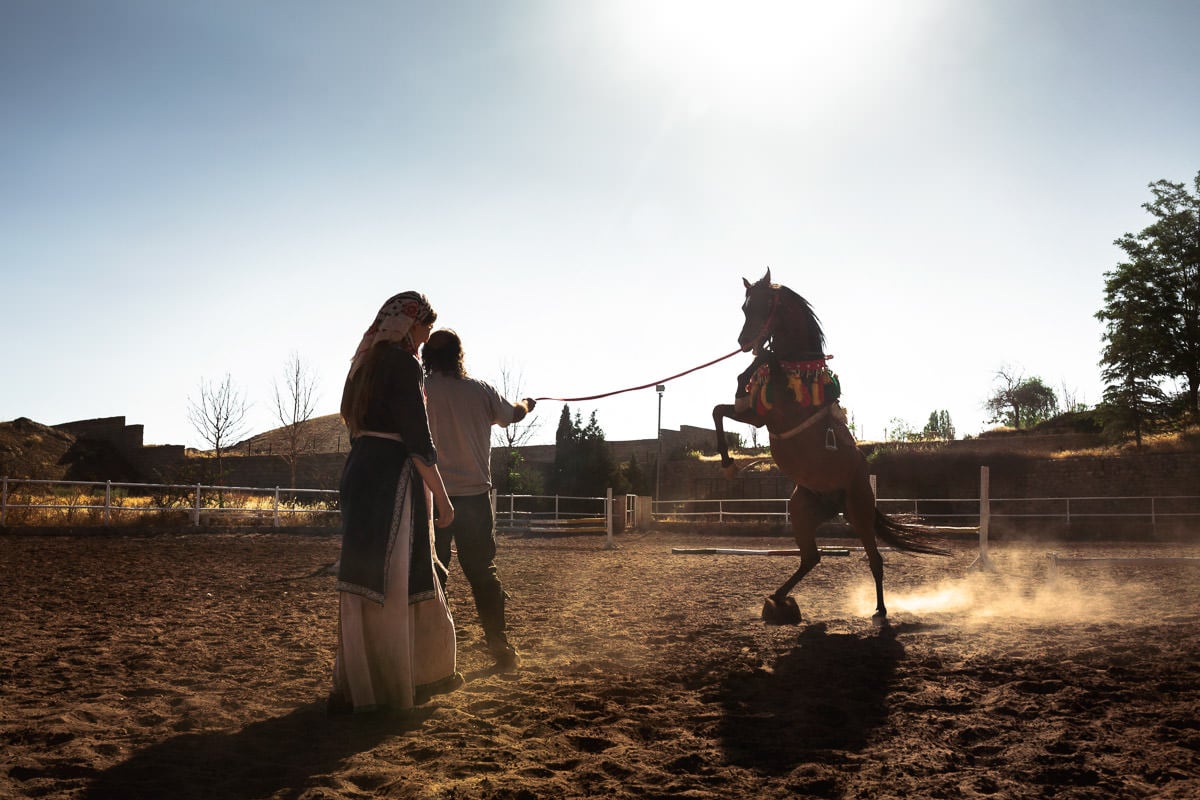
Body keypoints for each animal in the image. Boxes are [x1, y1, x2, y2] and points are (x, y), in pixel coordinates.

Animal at [710, 268, 945, 623]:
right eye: (744, 307)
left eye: (764, 305)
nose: (744, 343)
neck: (796, 364)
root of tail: (837, 501)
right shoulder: (756, 416)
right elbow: (720, 409)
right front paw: (726, 465)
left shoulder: (774, 414)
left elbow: (758, 370)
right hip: (802, 511)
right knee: (811, 557)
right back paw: (778, 598)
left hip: (859, 512)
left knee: (874, 560)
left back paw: (880, 610)